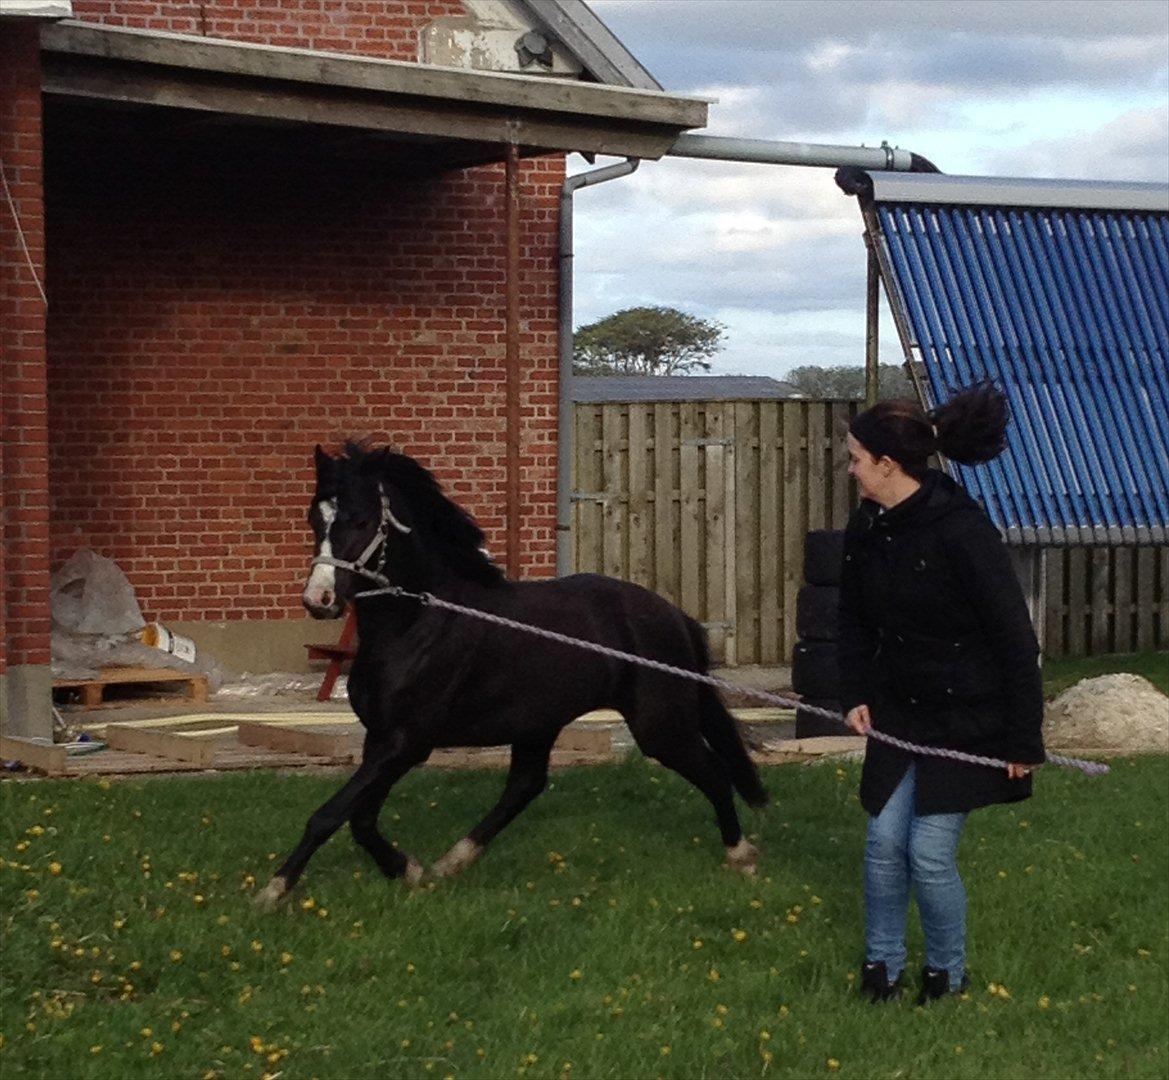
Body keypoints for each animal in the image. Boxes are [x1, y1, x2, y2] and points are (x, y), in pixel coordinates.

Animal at [256, 441, 766, 907]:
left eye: (361, 520)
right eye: (315, 519)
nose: (319, 600)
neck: (419, 622)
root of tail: (674, 616)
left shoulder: (406, 742)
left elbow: (329, 815)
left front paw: (273, 891)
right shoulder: (380, 740)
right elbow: (360, 820)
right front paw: (410, 871)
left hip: (659, 726)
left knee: (714, 772)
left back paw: (741, 855)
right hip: (540, 723)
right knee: (525, 786)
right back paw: (453, 860)